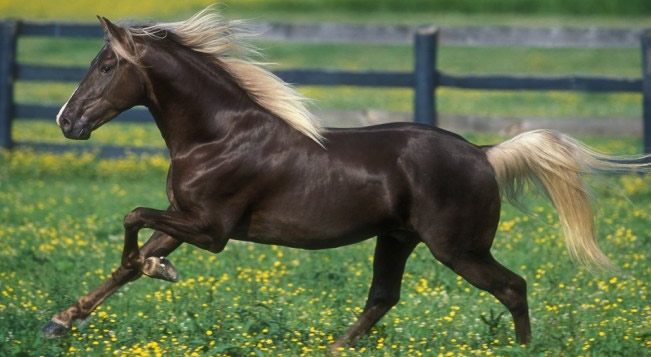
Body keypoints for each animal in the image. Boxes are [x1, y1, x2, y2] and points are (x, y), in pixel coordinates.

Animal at [42, 9, 651, 350]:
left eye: (105, 66)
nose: (66, 122)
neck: (218, 135)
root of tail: (484, 153)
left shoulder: (212, 230)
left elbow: (132, 221)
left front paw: (155, 271)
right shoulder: (185, 220)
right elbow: (128, 261)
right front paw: (61, 321)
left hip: (458, 248)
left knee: (512, 287)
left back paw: (520, 350)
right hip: (397, 239)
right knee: (383, 297)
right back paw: (335, 347)